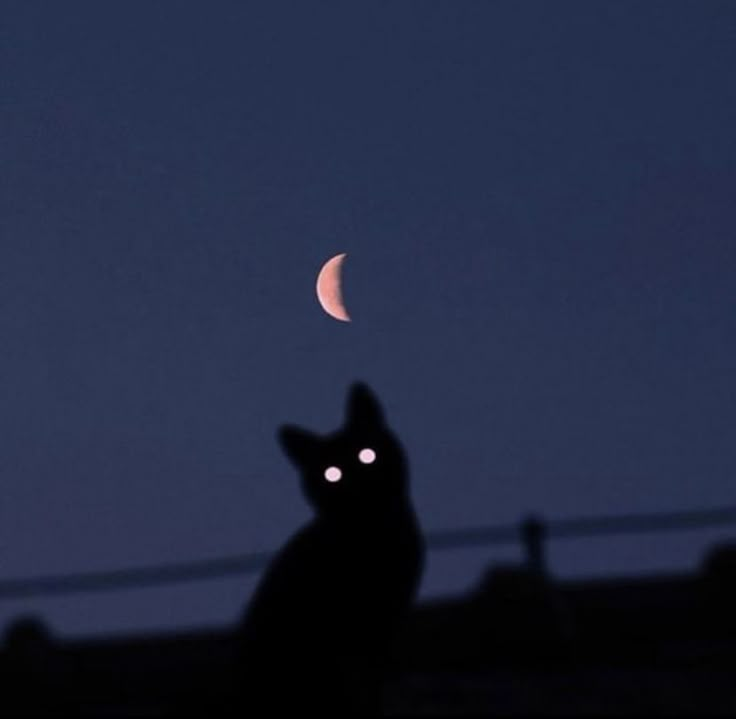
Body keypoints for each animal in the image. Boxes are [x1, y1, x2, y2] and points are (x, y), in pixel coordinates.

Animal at [230, 382, 426, 716]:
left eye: (367, 455)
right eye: (331, 474)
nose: (357, 482)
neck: (376, 536)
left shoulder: (388, 621)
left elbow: (377, 677)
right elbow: (363, 683)